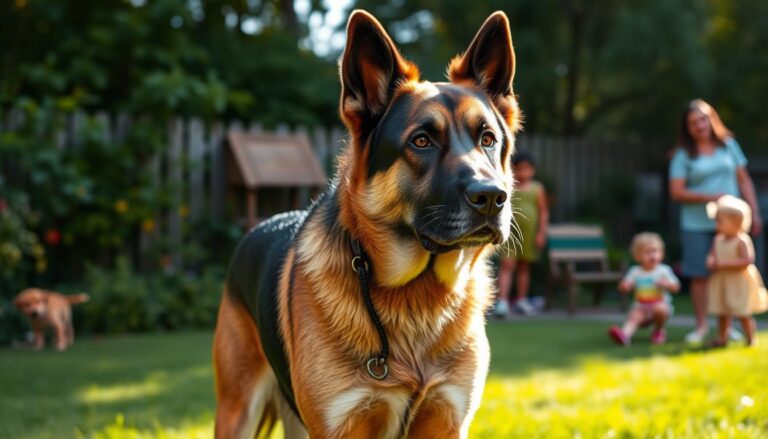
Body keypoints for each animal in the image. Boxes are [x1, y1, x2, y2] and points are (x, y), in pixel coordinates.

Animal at [213, 8, 520, 438]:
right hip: (238, 410)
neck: (416, 299)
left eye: (488, 139)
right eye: (421, 141)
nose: (492, 197)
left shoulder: (447, 420)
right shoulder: (342, 424)